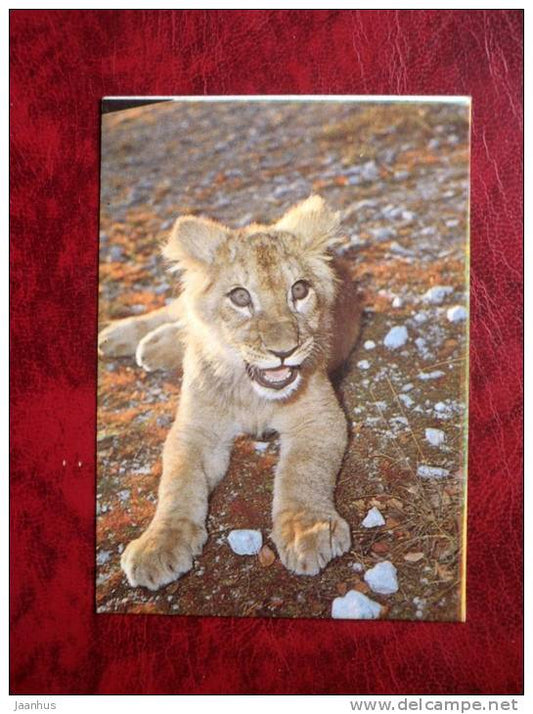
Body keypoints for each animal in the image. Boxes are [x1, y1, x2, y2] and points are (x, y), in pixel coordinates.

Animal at [98, 195, 362, 590]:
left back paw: (153, 346)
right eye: (240, 297)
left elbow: (303, 471)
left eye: (299, 290)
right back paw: (120, 336)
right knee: (178, 313)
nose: (284, 351)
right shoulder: (196, 430)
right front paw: (159, 544)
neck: (250, 391)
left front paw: (307, 530)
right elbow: (178, 481)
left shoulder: (320, 418)